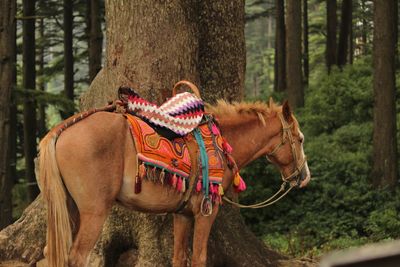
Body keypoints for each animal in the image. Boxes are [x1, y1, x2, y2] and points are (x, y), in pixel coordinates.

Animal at [37, 93, 310, 266]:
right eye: (300, 138)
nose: (304, 176)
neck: (221, 142)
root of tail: (61, 130)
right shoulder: (206, 212)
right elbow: (198, 258)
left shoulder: (183, 214)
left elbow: (179, 257)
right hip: (94, 212)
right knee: (77, 257)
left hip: (69, 209)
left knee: (52, 252)